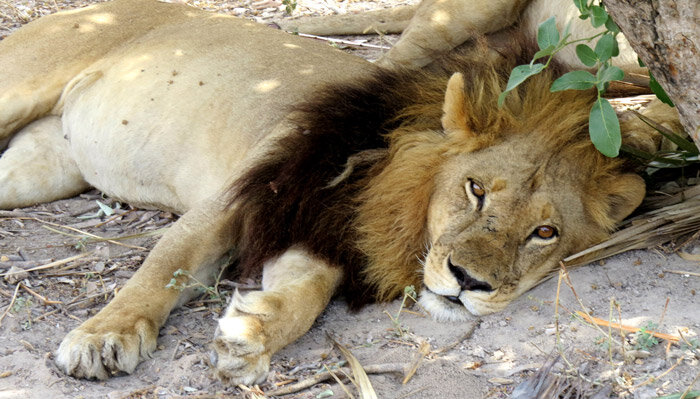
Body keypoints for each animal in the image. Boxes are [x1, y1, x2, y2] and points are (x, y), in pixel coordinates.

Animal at [0, 0, 672, 388]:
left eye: (544, 233)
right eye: (476, 190)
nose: (468, 283)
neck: (391, 189)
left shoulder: (319, 231)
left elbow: (307, 293)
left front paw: (249, 333)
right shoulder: (245, 195)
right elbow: (166, 263)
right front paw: (105, 336)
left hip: (35, 169)